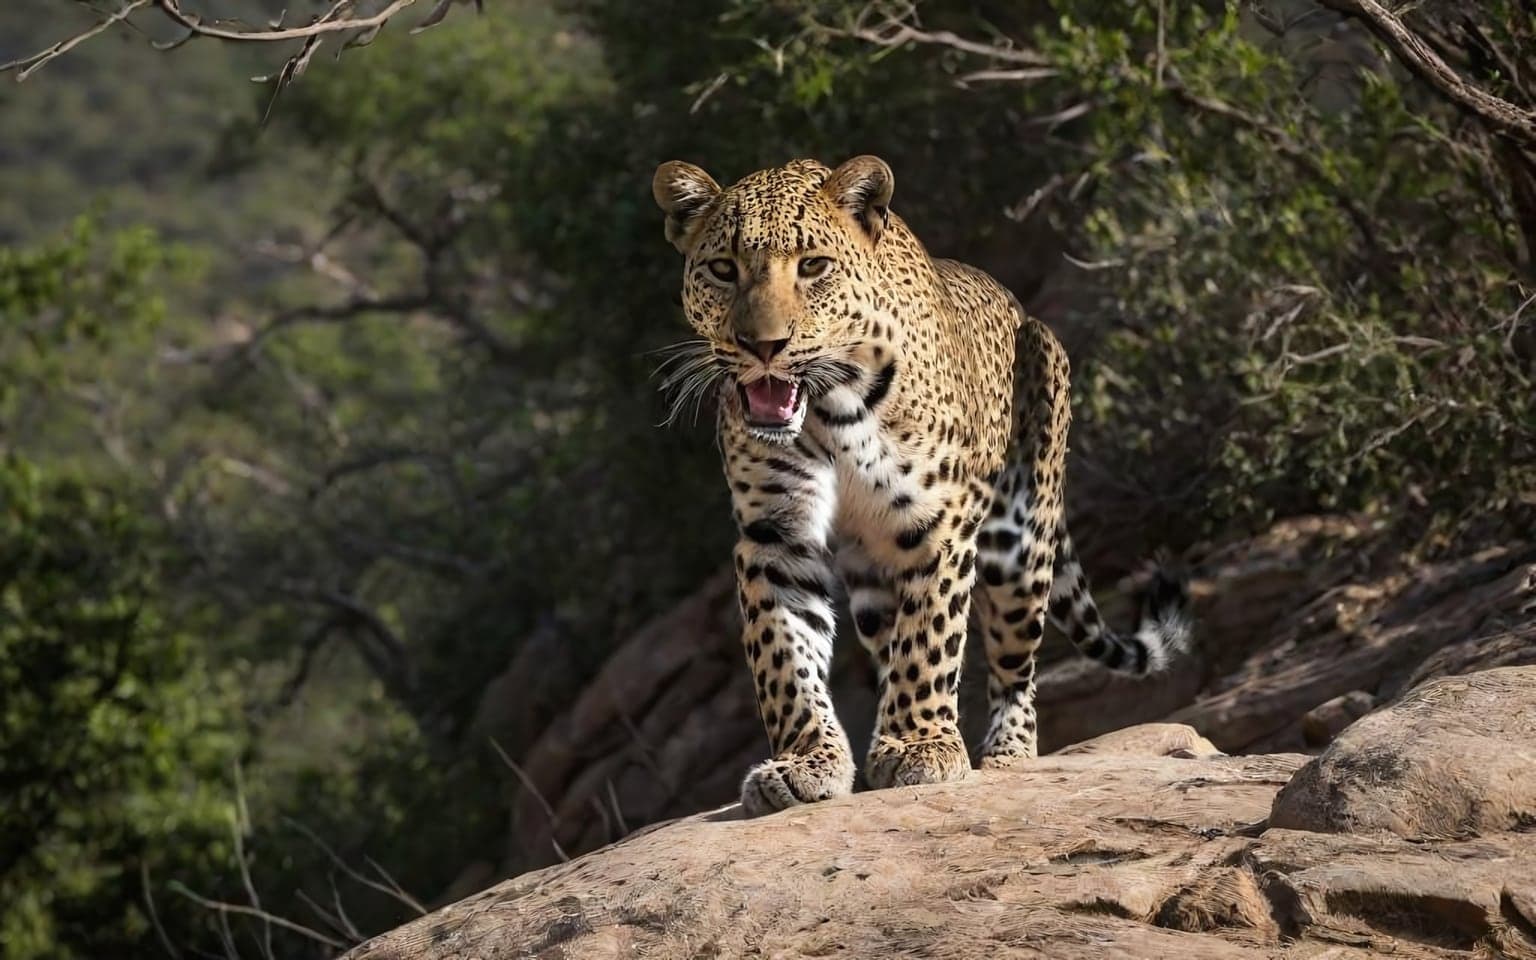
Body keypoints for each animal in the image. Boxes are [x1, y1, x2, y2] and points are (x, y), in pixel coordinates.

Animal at [650, 155, 1192, 817]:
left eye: (813, 266)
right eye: (724, 269)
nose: (764, 347)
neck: (829, 409)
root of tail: (1018, 304)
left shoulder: (939, 522)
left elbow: (930, 638)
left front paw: (919, 746)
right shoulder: (774, 533)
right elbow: (784, 655)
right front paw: (807, 761)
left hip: (1019, 538)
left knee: (1016, 666)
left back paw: (1008, 752)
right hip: (872, 576)